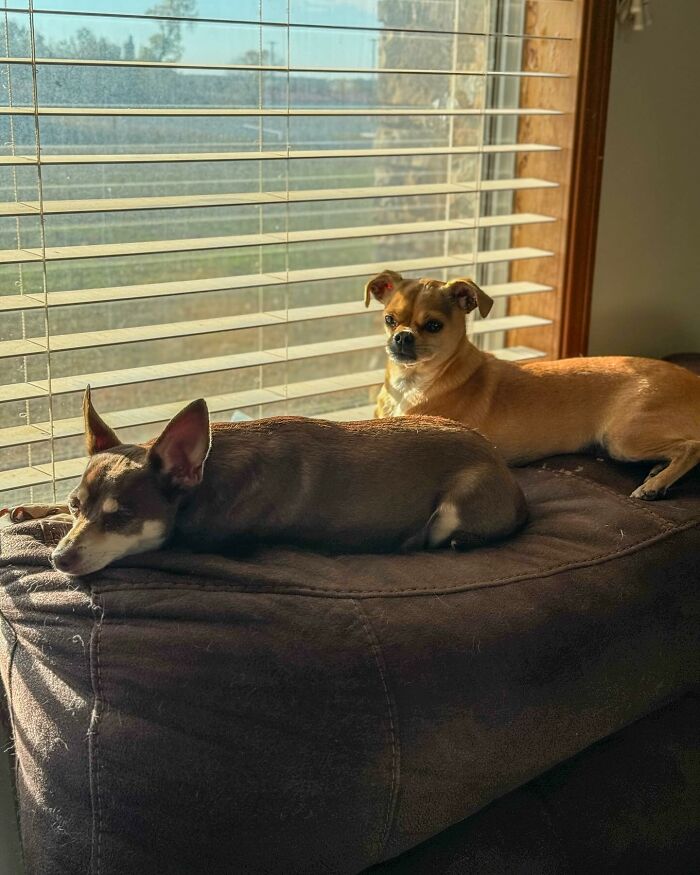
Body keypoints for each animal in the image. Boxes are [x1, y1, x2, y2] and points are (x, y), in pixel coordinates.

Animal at [366, 270, 700, 500]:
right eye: (389, 320)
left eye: (434, 326)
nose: (402, 337)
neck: (412, 382)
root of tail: (694, 380)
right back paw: (658, 471)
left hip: (622, 437)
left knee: (692, 447)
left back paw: (655, 484)